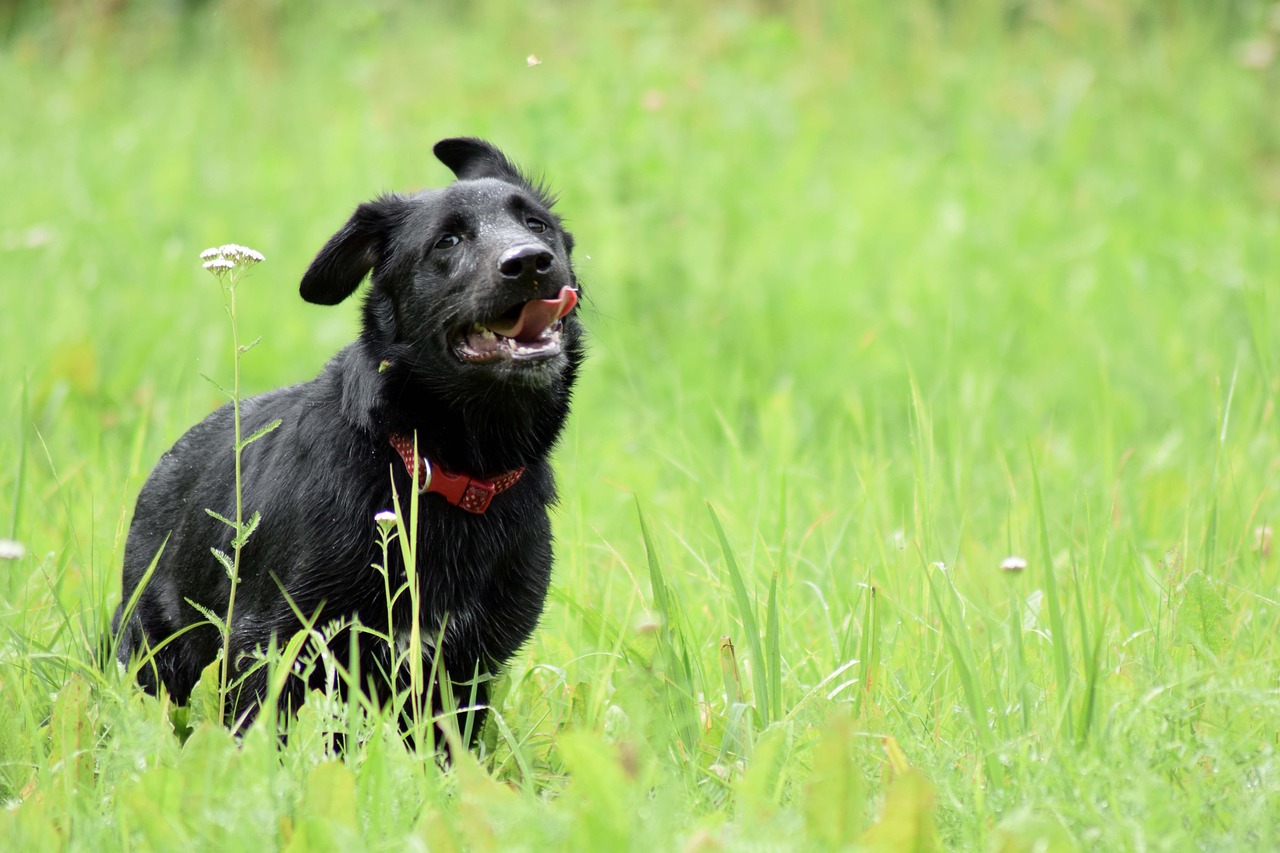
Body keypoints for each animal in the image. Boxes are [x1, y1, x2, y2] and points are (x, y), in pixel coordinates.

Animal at [115, 137, 586, 737]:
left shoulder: (462, 676)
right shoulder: (269, 646)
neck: (437, 466)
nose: (529, 261)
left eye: (537, 224)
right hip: (156, 650)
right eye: (447, 241)